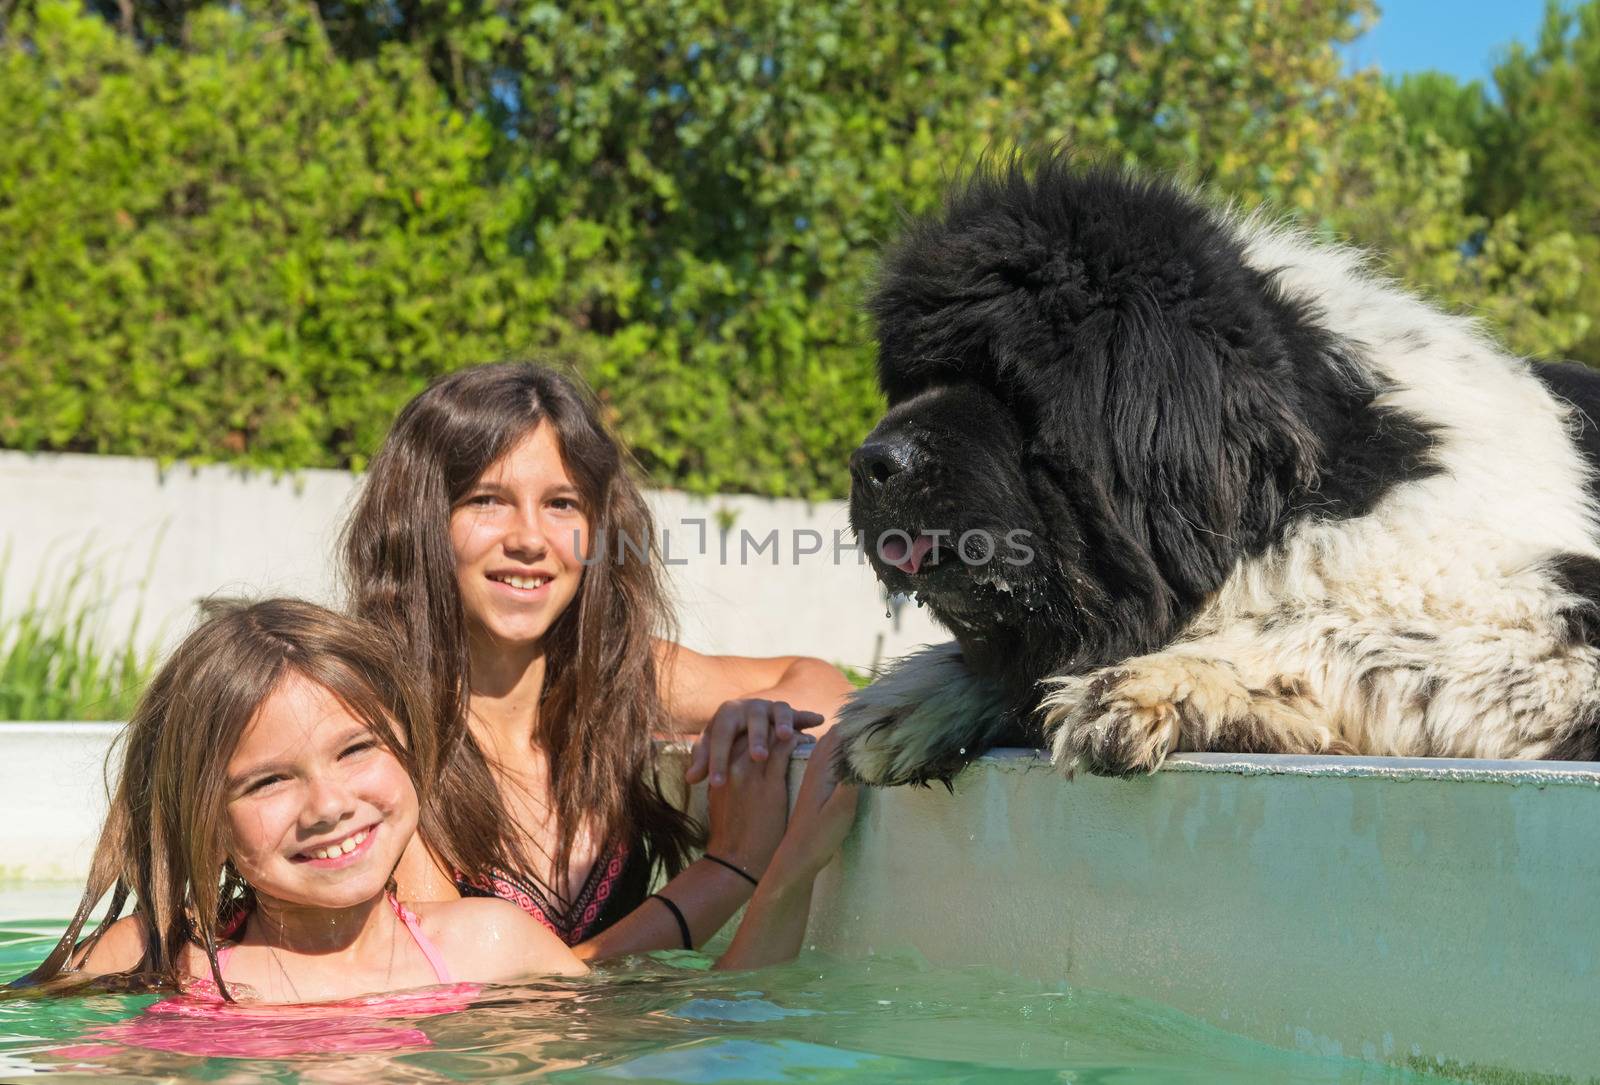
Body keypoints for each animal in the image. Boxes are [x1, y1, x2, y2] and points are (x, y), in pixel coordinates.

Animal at [838, 152, 1600, 787]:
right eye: (910, 384)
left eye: (1008, 386)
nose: (871, 462)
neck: (1309, 489)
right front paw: (914, 698)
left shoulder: (1563, 630)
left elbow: (1324, 625)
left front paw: (1157, 680)